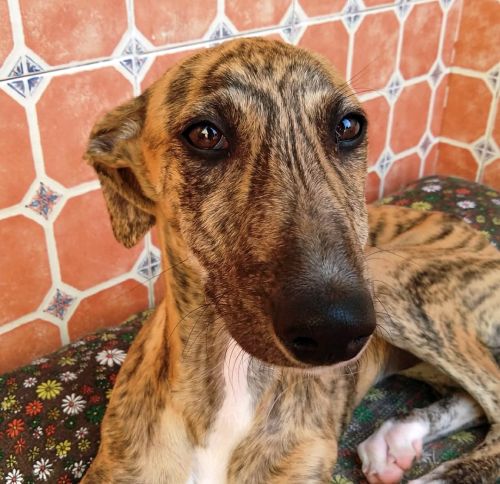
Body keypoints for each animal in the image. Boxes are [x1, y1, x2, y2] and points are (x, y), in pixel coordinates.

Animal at [81, 38, 500, 483]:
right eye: (205, 134)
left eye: (349, 126)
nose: (334, 331)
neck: (234, 380)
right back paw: (395, 441)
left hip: (391, 283)